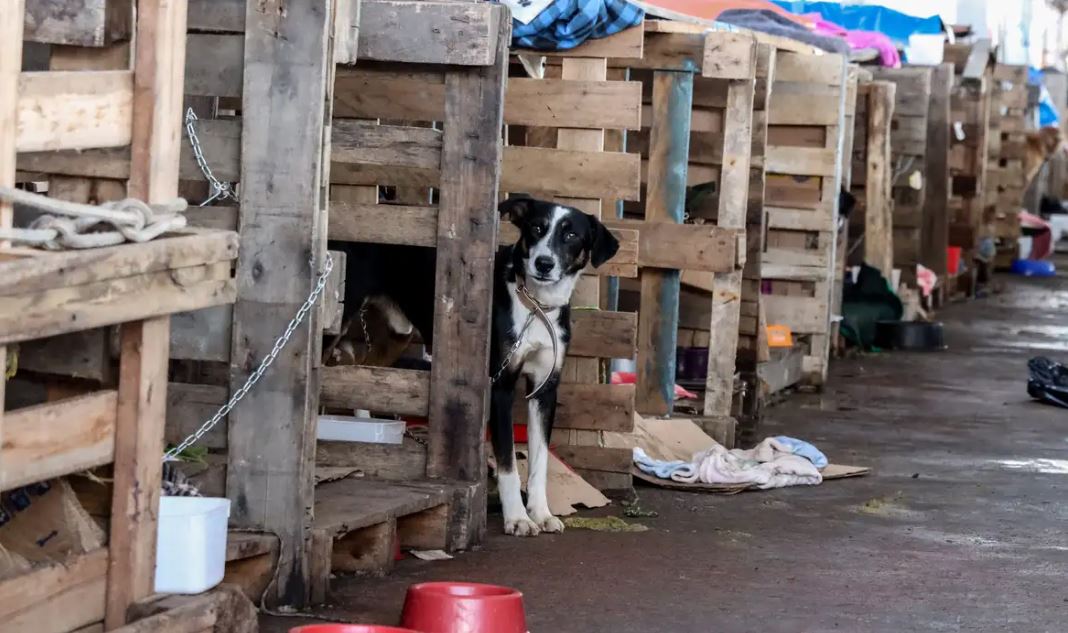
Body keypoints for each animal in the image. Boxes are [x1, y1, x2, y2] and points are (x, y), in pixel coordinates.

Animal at [328, 195, 623, 535]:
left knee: (364, 373)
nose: (544, 264)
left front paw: (541, 512)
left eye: (572, 235)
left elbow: (539, 462)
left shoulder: (544, 390)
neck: (535, 307)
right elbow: (508, 463)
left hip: (397, 333)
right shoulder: (500, 386)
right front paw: (517, 518)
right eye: (536, 228)